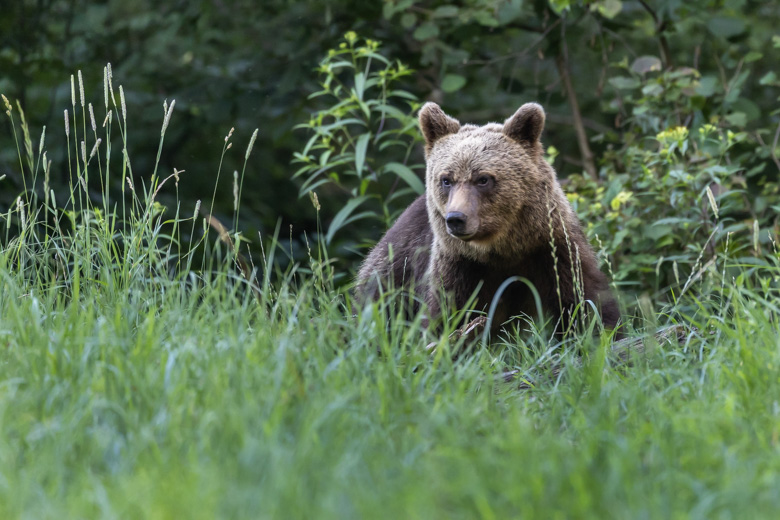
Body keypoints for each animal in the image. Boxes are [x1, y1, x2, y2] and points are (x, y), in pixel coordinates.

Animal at [356, 102, 620, 338]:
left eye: (483, 179)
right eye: (446, 179)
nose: (456, 219)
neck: (501, 250)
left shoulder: (551, 250)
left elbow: (584, 303)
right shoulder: (459, 267)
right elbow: (446, 318)